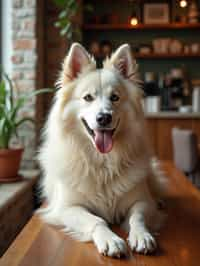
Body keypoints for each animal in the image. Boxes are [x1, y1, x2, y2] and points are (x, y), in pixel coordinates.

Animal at [38, 43, 166, 258]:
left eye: (115, 97)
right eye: (88, 97)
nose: (104, 117)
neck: (102, 162)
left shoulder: (142, 202)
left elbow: (137, 218)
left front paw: (141, 235)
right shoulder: (67, 208)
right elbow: (96, 220)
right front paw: (110, 239)